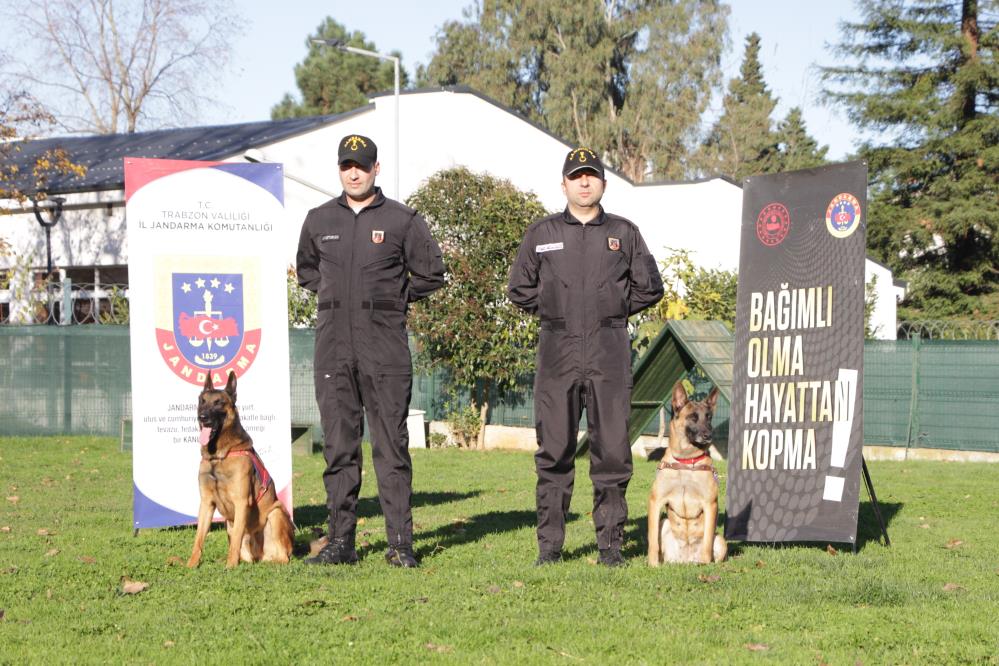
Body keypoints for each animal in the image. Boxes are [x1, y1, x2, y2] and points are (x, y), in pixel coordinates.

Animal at [188, 368, 294, 564]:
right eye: (202, 401)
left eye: (218, 402)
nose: (202, 417)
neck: (218, 456)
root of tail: (261, 556)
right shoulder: (206, 503)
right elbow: (198, 539)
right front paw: (191, 565)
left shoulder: (241, 502)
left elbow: (236, 539)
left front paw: (230, 567)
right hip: (229, 525)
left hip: (276, 512)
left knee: (283, 558)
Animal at [648, 382, 728, 564]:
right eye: (693, 417)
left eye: (709, 417)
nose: (709, 435)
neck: (686, 461)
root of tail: (686, 560)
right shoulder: (655, 502)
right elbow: (652, 540)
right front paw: (652, 564)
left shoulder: (710, 504)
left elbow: (707, 542)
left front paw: (706, 564)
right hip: (664, 522)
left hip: (721, 540)